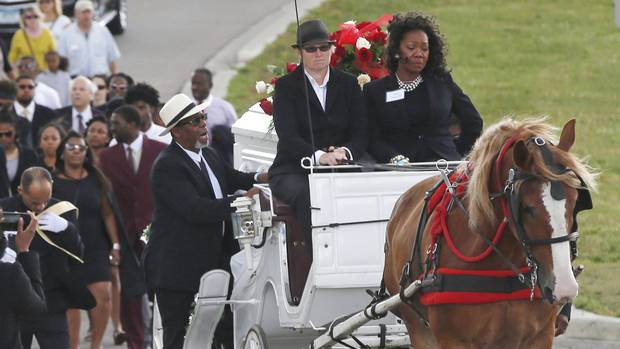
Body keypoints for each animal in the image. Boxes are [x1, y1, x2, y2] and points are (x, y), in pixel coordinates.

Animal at [382, 118, 596, 346]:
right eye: (527, 208)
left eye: (575, 201)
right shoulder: (453, 340)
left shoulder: (540, 336)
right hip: (418, 328)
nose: (564, 287)